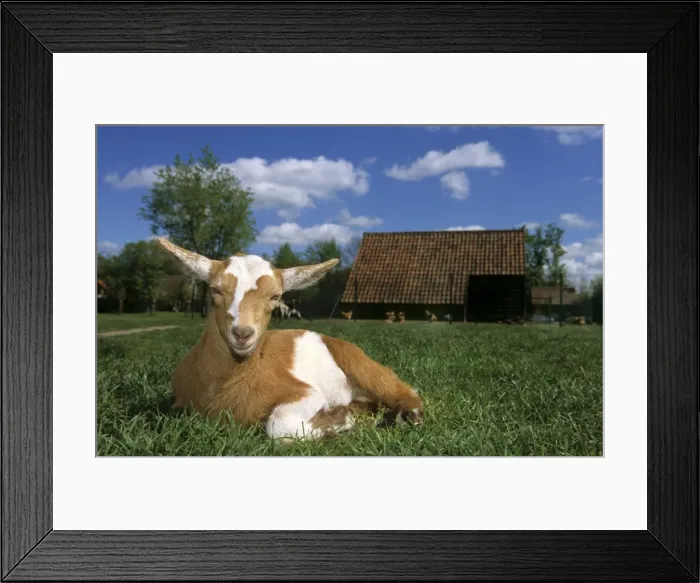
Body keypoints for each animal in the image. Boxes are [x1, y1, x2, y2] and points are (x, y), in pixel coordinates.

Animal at [156, 238, 423, 442]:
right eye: (216, 290)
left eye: (275, 296)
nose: (243, 333)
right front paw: (339, 417)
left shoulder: (306, 392)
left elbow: (278, 427)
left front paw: (336, 421)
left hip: (359, 362)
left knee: (402, 389)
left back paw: (405, 416)